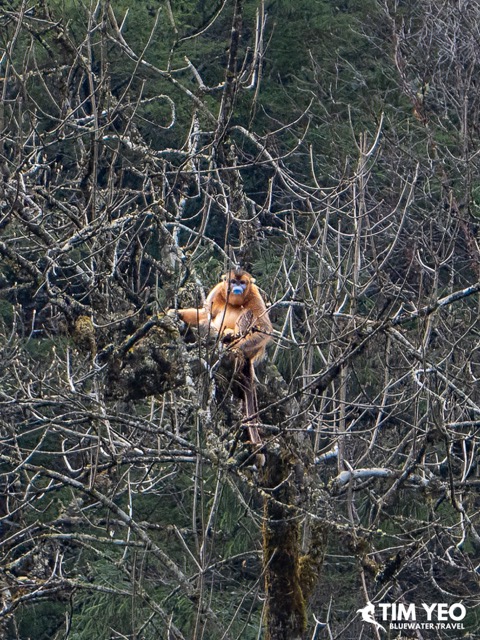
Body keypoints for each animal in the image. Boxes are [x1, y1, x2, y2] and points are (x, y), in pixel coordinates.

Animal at [175, 269, 272, 448]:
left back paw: (230, 340)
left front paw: (234, 348)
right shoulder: (217, 291)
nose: (237, 288)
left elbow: (265, 329)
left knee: (248, 314)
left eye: (243, 283)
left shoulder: (255, 295)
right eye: (233, 281)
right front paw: (177, 313)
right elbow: (204, 314)